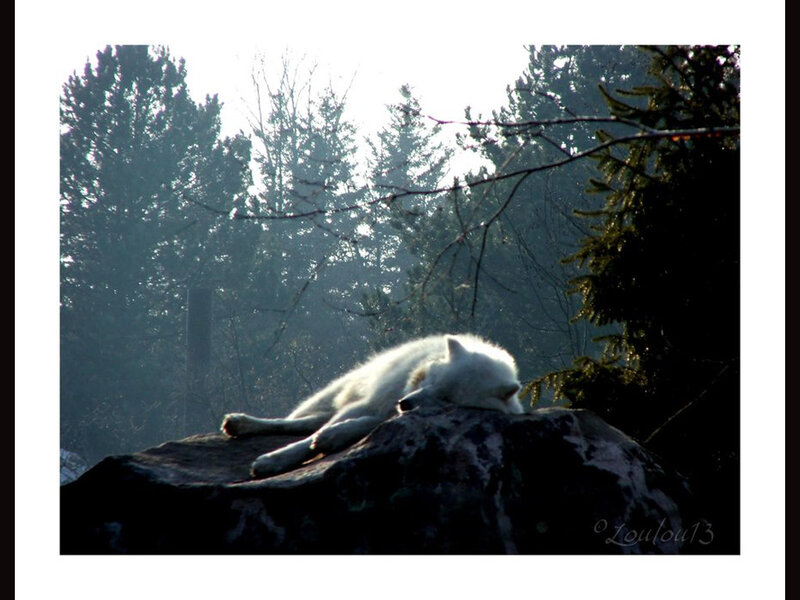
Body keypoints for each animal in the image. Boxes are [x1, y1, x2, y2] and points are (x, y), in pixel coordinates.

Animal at [221, 334, 523, 478]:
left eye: (447, 398)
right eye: (432, 380)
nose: (405, 404)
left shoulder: (385, 413)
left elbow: (357, 427)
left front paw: (332, 437)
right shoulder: (374, 401)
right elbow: (310, 438)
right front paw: (273, 460)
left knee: (308, 423)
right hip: (341, 389)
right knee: (298, 420)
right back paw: (241, 423)